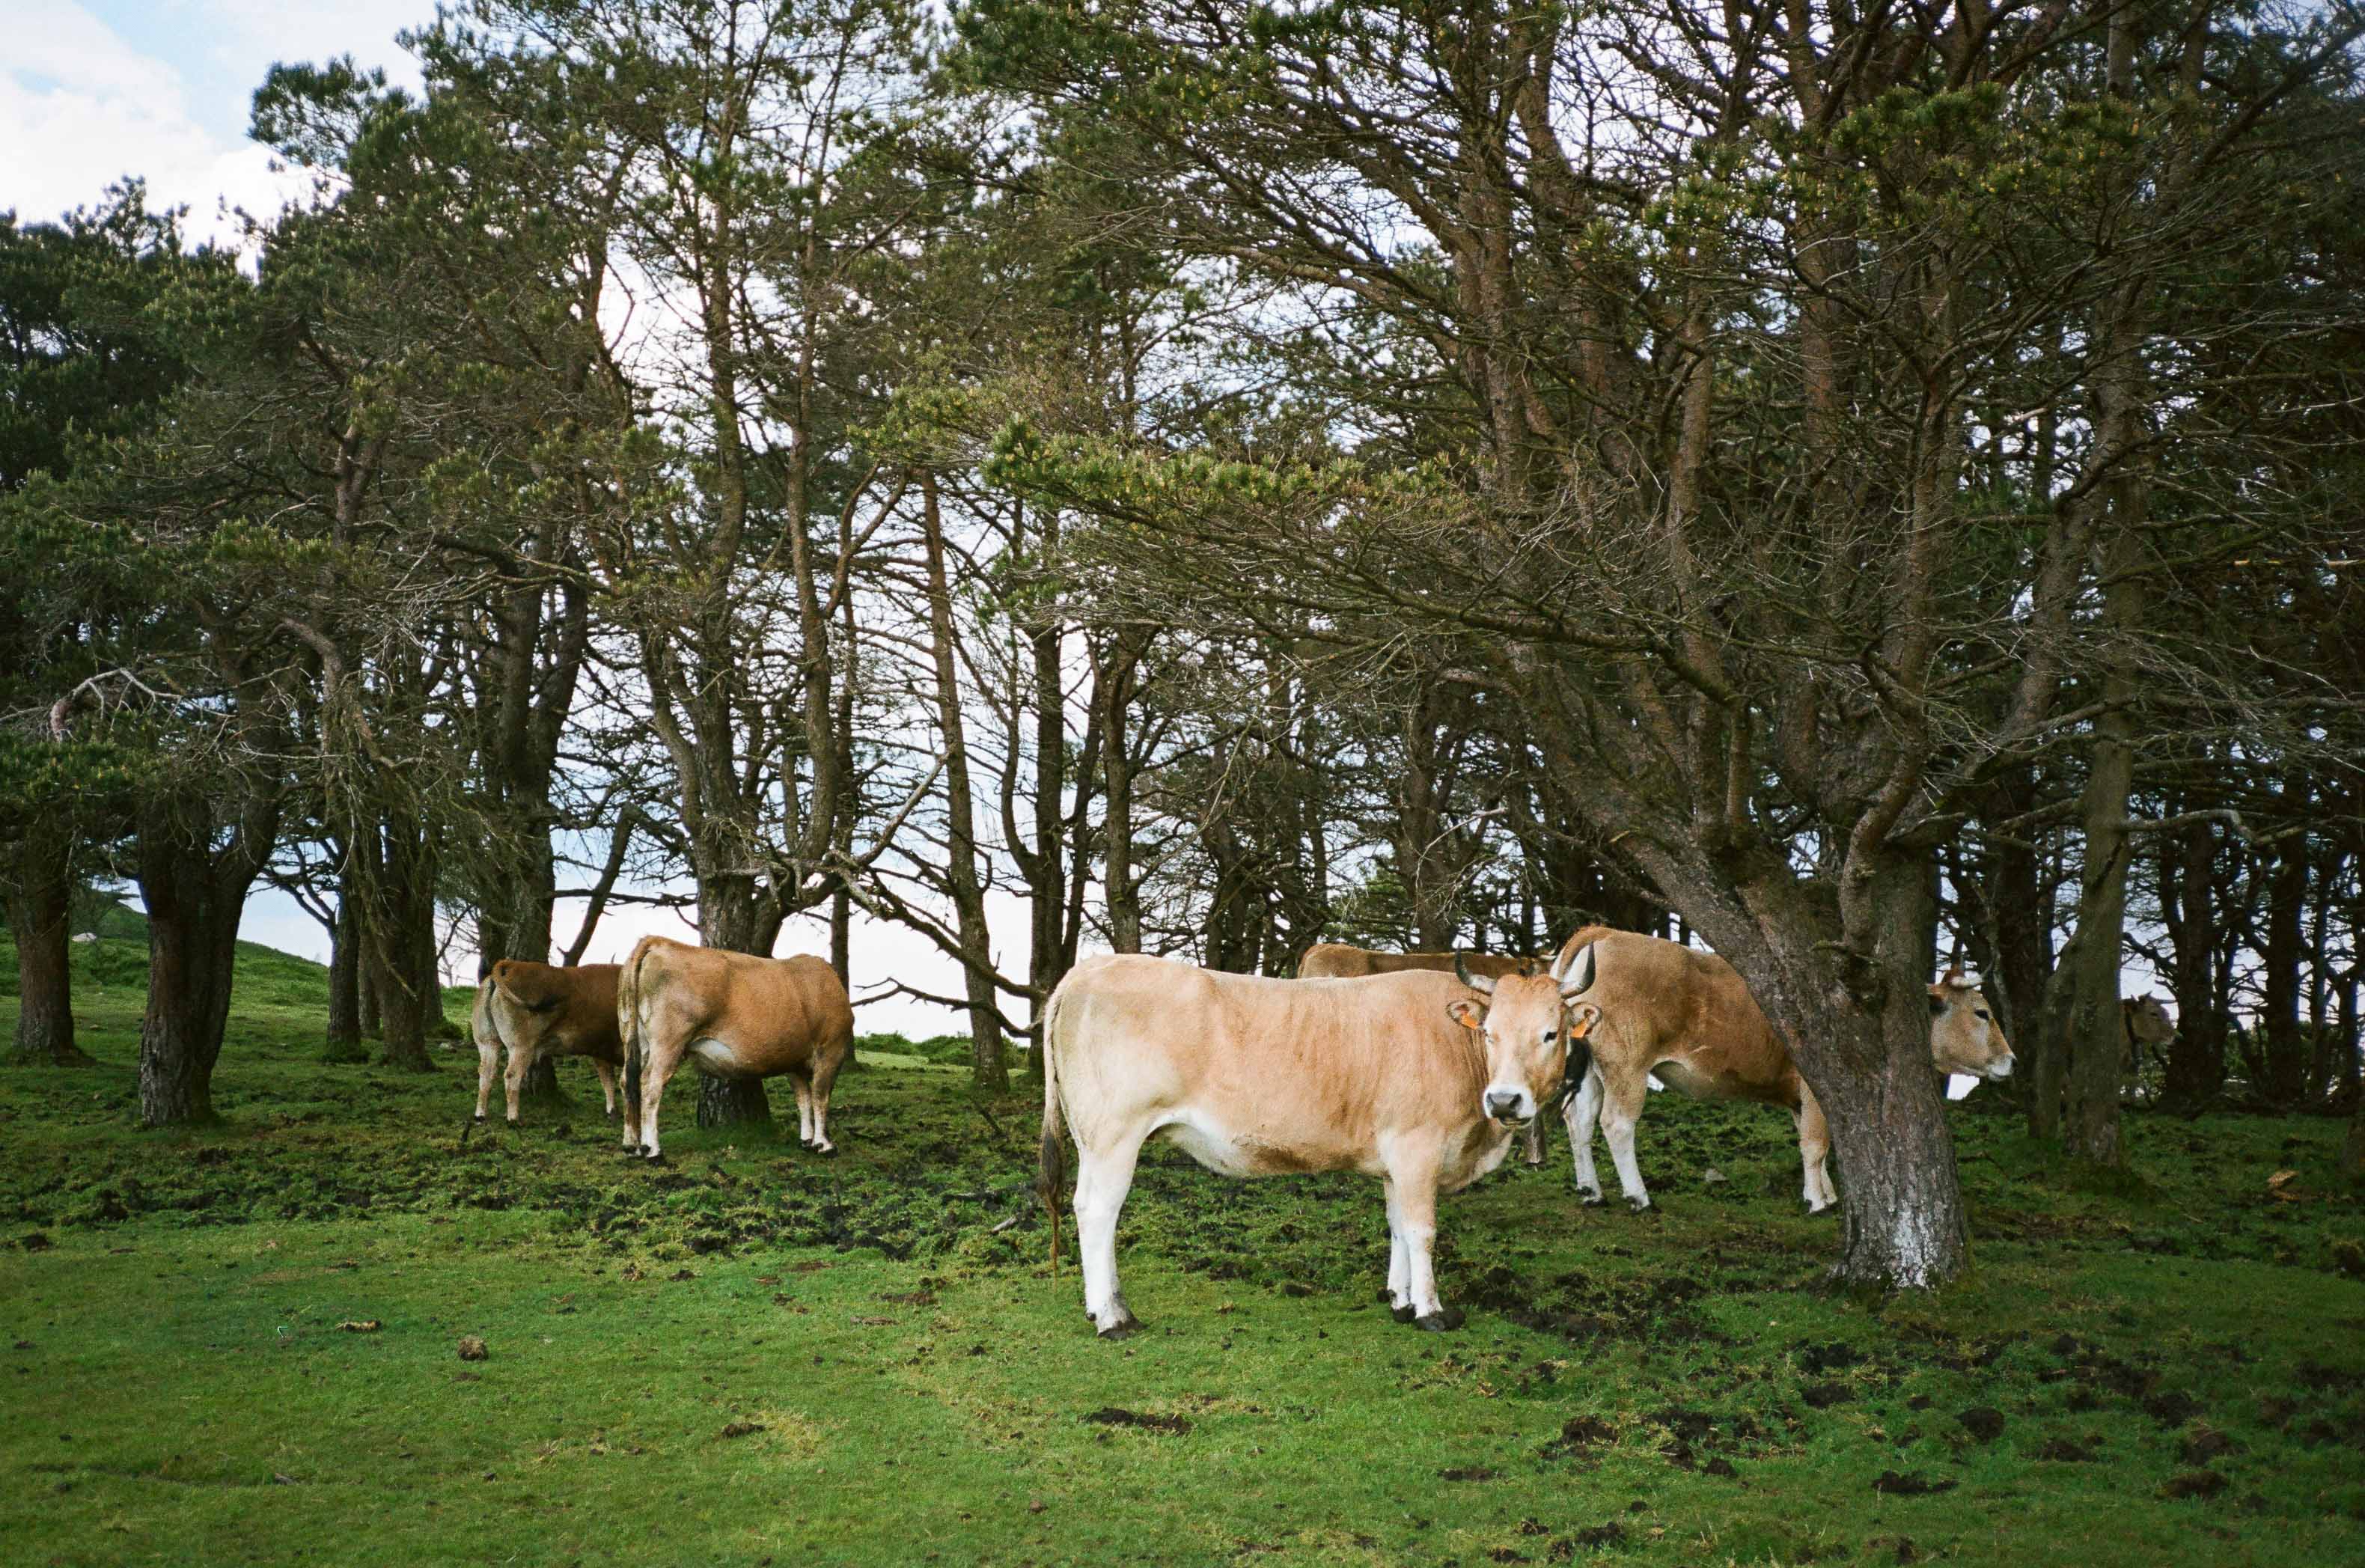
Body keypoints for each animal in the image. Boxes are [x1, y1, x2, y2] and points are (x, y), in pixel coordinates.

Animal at [471, 959, 624, 1124]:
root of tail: (510, 965)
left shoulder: (600, 1052)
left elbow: (608, 1080)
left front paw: (612, 1112)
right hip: (521, 1047)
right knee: (512, 1075)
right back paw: (514, 1119)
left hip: (488, 1043)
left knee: (487, 1073)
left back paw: (480, 1116)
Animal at [614, 936, 856, 1160]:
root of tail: (658, 942)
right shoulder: (831, 1050)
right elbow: (820, 1096)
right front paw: (825, 1145)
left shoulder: (794, 1061)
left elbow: (803, 1099)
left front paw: (806, 1141)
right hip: (668, 1042)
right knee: (650, 1085)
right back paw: (653, 1151)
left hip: (634, 1038)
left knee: (627, 1081)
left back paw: (632, 1147)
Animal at [1521, 927, 2013, 1214]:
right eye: (1983, 1012)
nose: (2011, 1059)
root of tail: (1604, 933)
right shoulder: (1814, 1088)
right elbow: (1815, 1145)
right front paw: (1818, 1201)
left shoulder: (1802, 1097)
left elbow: (1816, 1146)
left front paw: (1826, 1191)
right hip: (1627, 1065)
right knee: (1617, 1124)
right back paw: (1638, 1195)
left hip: (1591, 1069)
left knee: (1580, 1122)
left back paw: (1591, 1190)